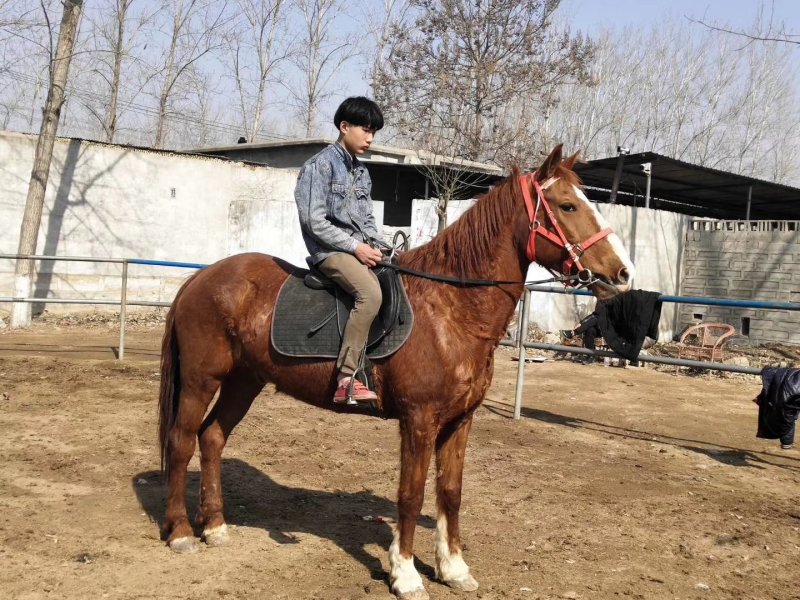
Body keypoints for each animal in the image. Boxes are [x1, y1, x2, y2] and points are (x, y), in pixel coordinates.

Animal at [157, 144, 634, 600]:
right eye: (568, 206)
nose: (622, 274)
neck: (451, 309)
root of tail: (200, 279)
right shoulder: (419, 420)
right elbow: (411, 493)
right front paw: (405, 575)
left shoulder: (460, 421)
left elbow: (450, 493)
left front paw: (454, 569)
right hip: (202, 381)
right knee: (182, 441)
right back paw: (181, 532)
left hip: (244, 382)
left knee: (213, 438)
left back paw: (215, 527)